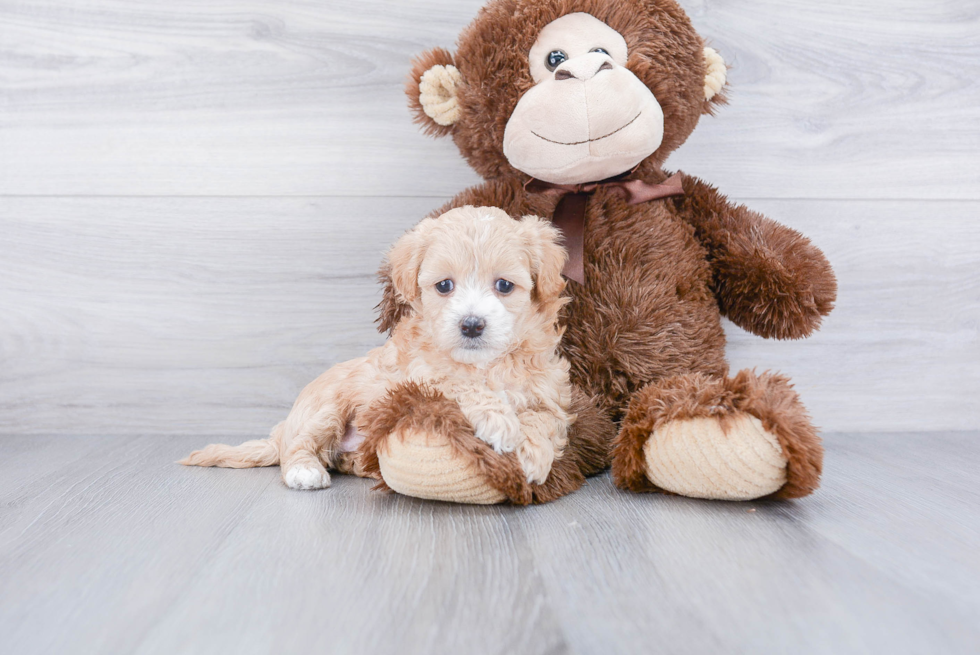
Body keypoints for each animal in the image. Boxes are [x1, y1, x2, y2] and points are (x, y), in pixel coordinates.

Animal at [180, 208, 572, 490]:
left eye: (504, 285)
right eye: (444, 286)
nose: (472, 325)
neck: (485, 364)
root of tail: (283, 428)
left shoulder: (548, 392)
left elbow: (544, 419)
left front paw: (534, 455)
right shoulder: (419, 378)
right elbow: (459, 383)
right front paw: (499, 420)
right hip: (325, 407)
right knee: (299, 446)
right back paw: (304, 471)